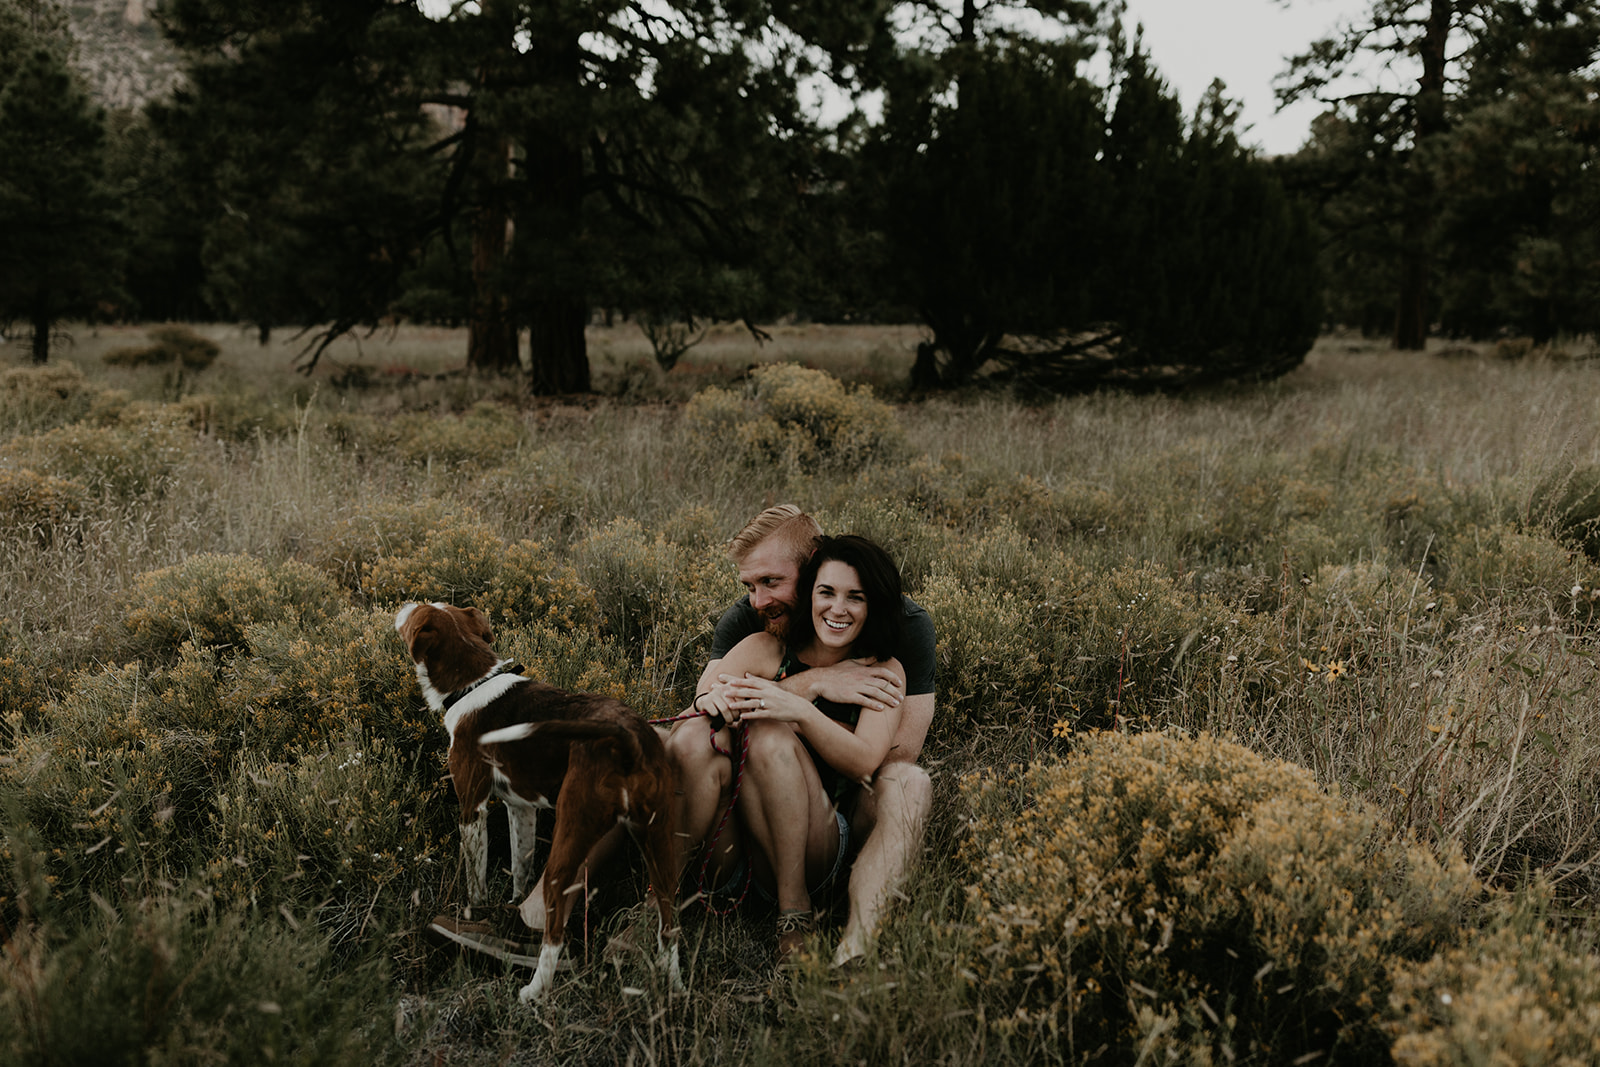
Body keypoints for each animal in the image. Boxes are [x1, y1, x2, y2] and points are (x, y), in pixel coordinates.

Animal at [398, 604, 681, 1004]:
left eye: (417, 611)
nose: (401, 608)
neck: (473, 683)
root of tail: (624, 739)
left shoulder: (472, 807)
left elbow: (475, 881)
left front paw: (474, 916)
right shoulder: (521, 809)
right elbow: (520, 868)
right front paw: (511, 909)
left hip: (569, 841)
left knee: (555, 934)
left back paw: (534, 991)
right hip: (659, 843)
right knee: (669, 926)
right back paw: (677, 987)